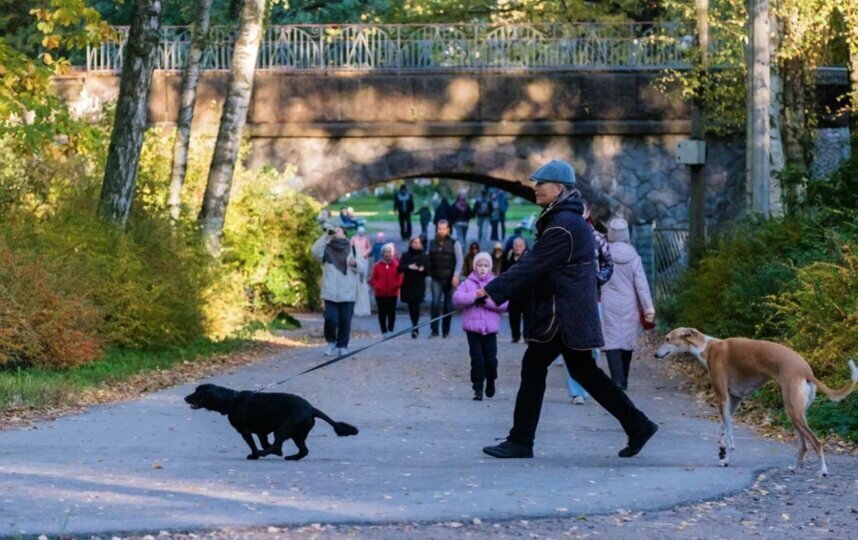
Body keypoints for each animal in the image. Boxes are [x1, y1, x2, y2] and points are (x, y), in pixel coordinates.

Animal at [182, 384, 356, 460]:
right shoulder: (262, 432)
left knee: (278, 445)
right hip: (297, 434)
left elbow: (253, 445)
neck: (231, 400)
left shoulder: (245, 431)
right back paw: (291, 457)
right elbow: (264, 442)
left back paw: (264, 453)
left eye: (197, 392)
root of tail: (312, 408)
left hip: (284, 429)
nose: (185, 398)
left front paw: (254, 455)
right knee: (303, 450)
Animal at [652, 326, 852, 474]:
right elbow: (722, 428)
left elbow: (729, 432)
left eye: (667, 339)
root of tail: (806, 370)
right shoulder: (734, 399)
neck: (707, 347)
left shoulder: (723, 396)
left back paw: (823, 470)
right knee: (804, 446)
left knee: (816, 442)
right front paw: (722, 453)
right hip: (797, 414)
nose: (655, 354)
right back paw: (795, 468)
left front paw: (727, 453)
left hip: (793, 411)